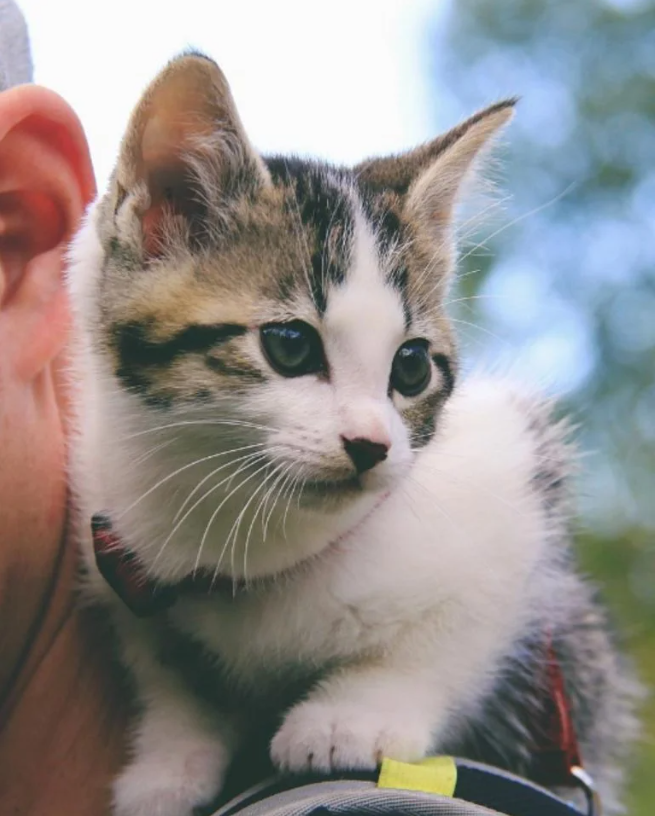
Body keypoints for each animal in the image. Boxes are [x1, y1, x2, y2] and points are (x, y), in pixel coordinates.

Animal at [68, 52, 640, 816]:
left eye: (412, 366)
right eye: (289, 346)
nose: (372, 446)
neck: (249, 529)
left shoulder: (514, 478)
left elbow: (448, 640)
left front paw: (351, 715)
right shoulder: (116, 553)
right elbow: (165, 670)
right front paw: (169, 760)